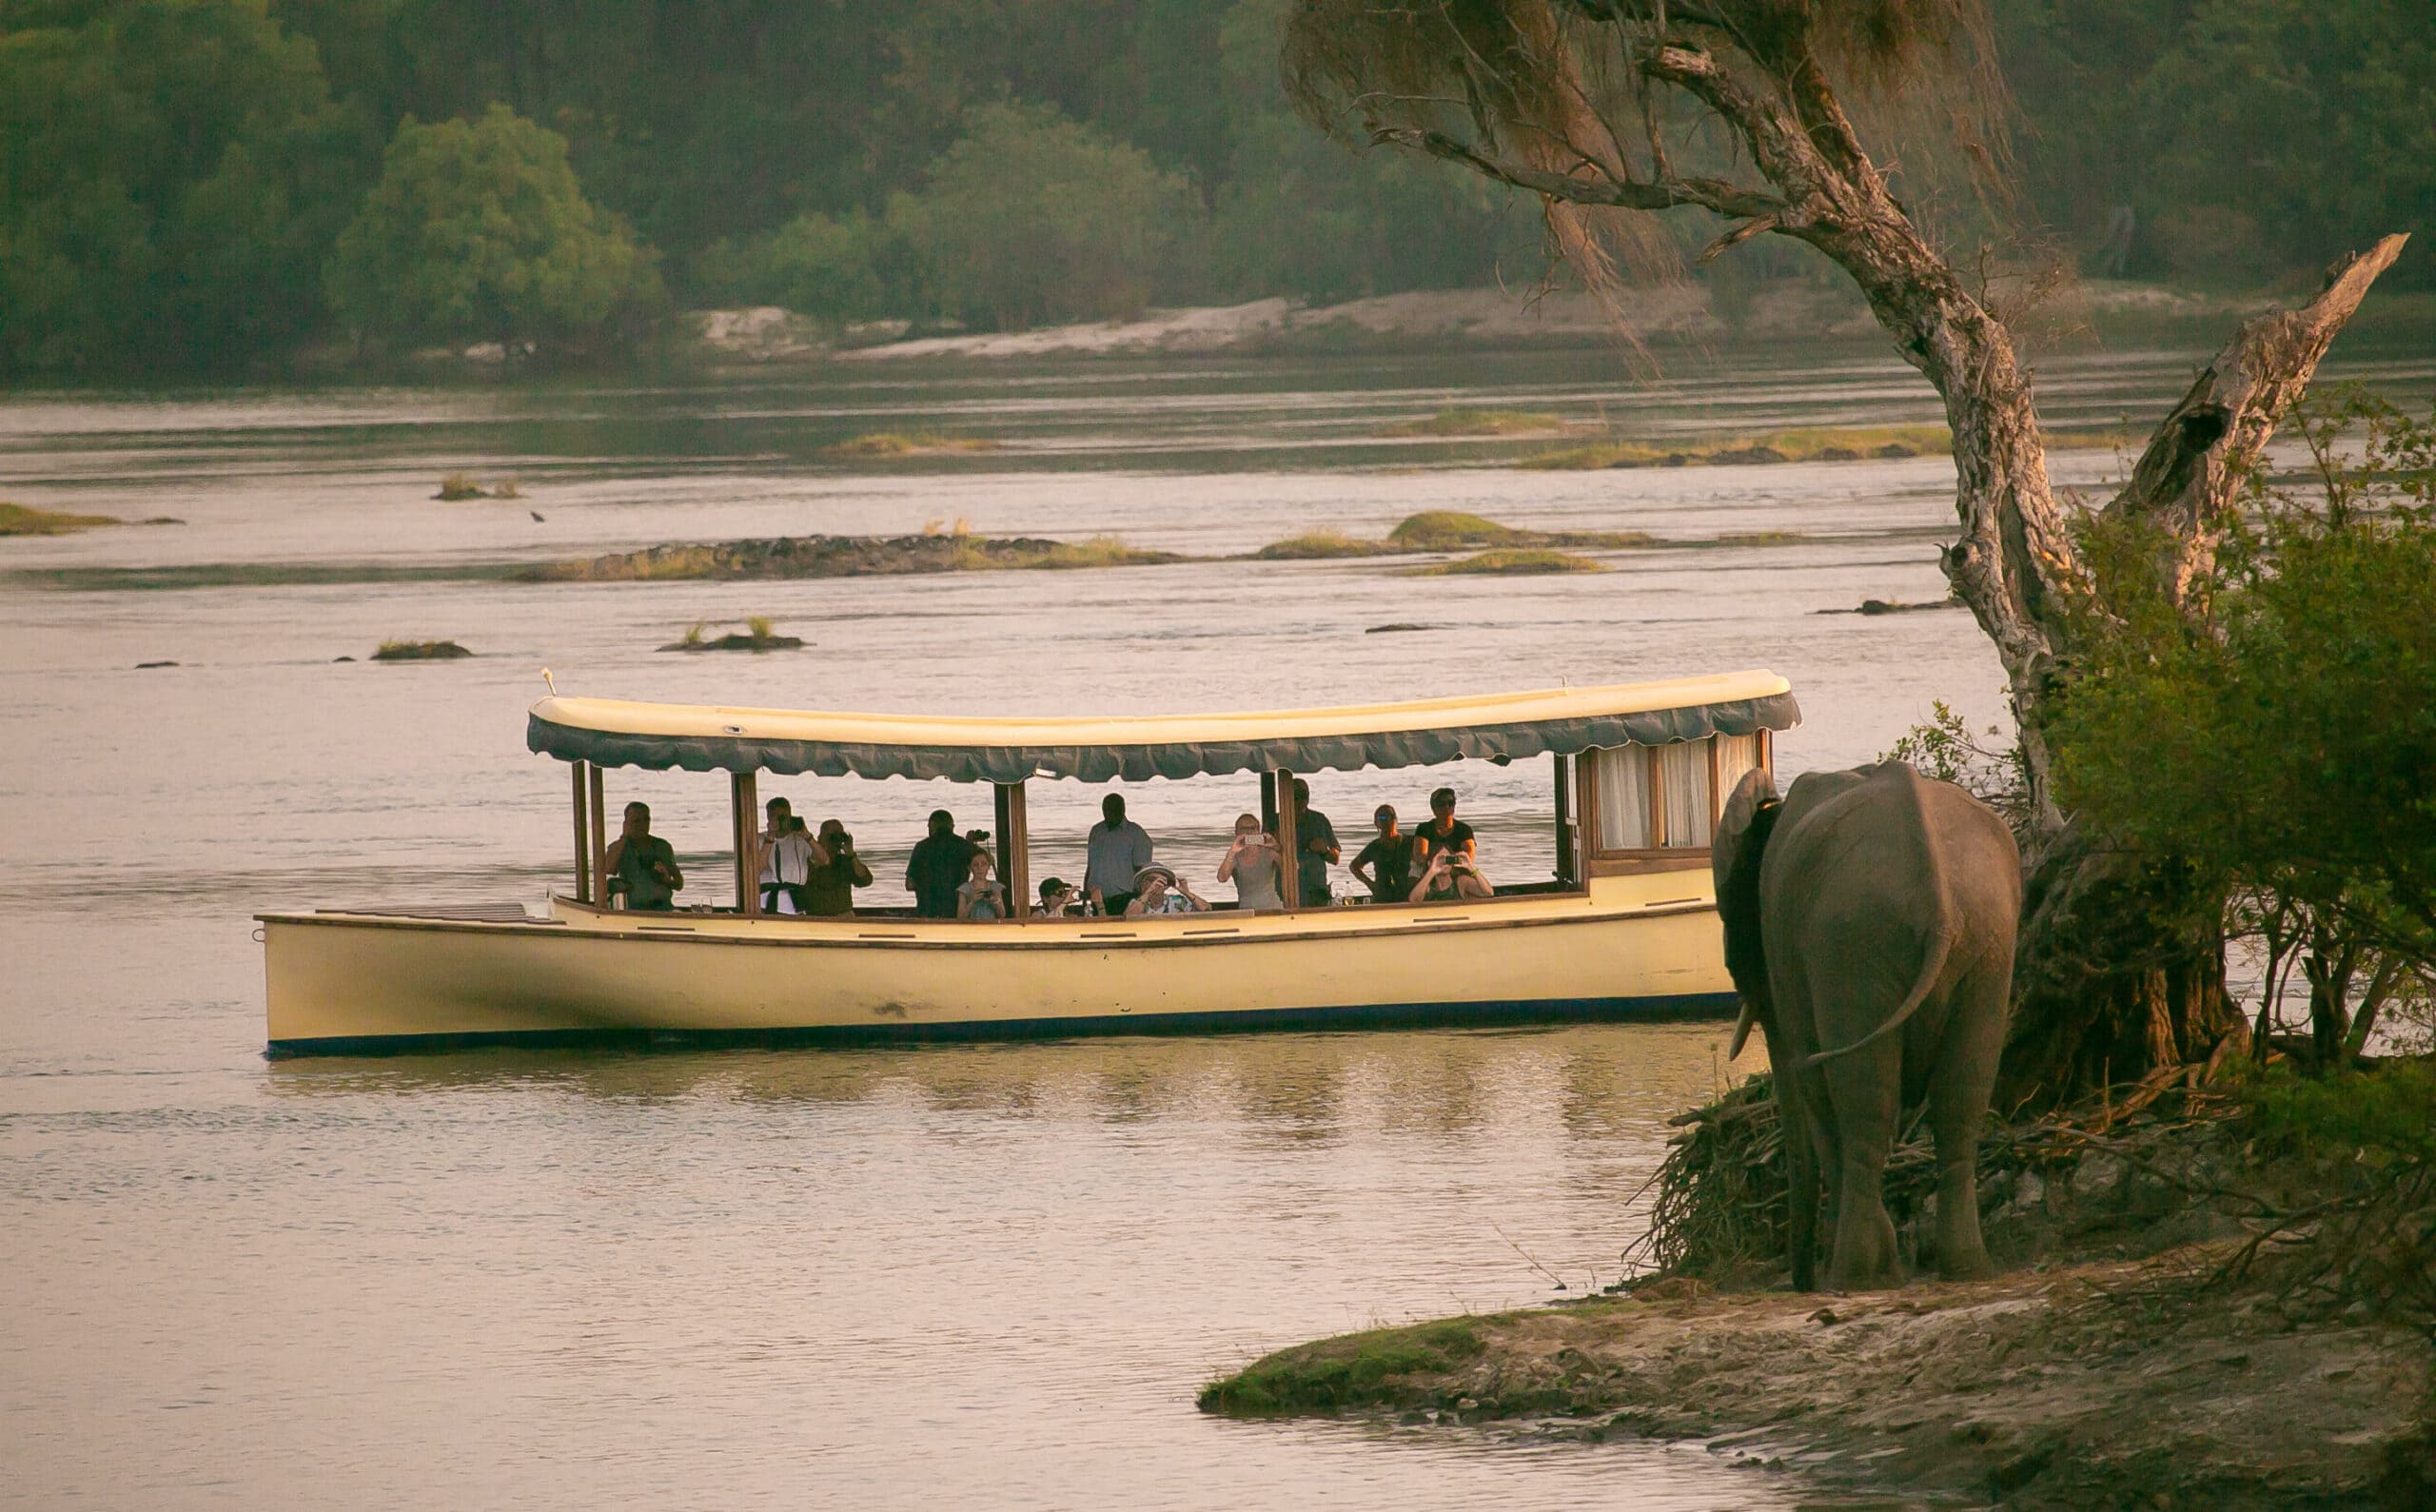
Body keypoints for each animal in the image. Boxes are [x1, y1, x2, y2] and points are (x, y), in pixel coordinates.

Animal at [1705, 759, 2026, 1295]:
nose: (1801, 1282)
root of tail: (1939, 904)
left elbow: (1811, 1083)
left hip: (1851, 943)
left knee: (1861, 1100)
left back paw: (1851, 1275)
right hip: (1987, 937)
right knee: (1961, 1096)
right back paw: (1964, 1269)